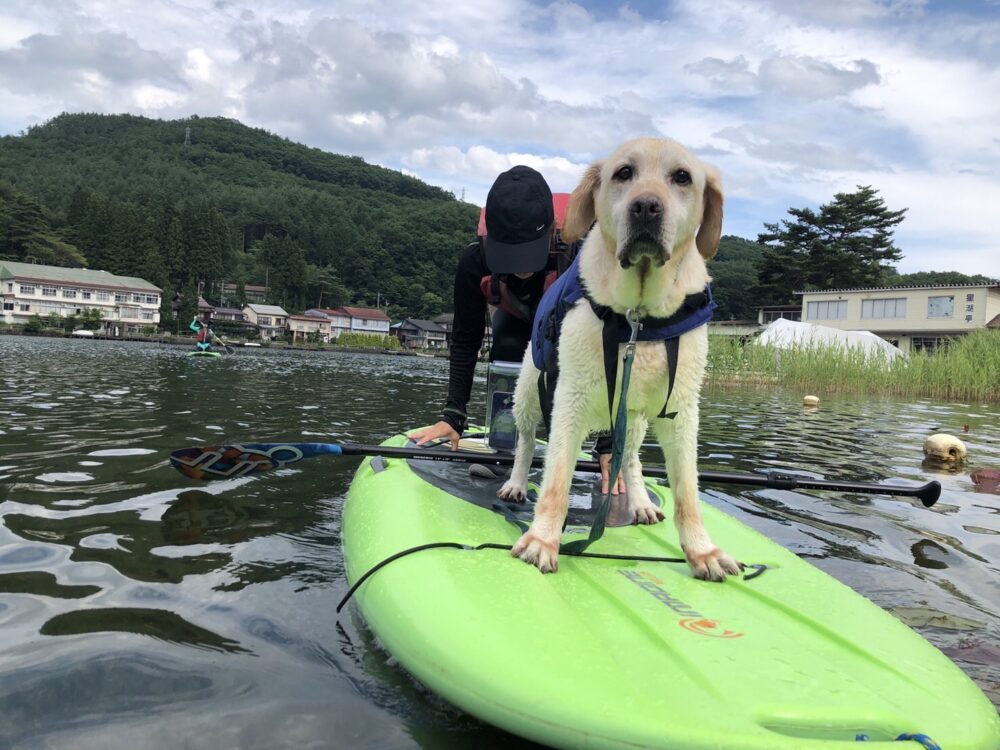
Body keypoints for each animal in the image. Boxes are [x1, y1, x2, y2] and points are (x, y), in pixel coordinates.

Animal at [500, 137, 744, 580]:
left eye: (682, 177)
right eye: (624, 173)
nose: (646, 206)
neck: (638, 318)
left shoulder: (681, 410)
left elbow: (687, 493)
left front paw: (702, 552)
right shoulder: (570, 398)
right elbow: (556, 478)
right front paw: (543, 539)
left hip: (634, 419)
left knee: (629, 459)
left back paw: (641, 502)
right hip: (529, 392)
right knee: (526, 441)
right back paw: (516, 483)